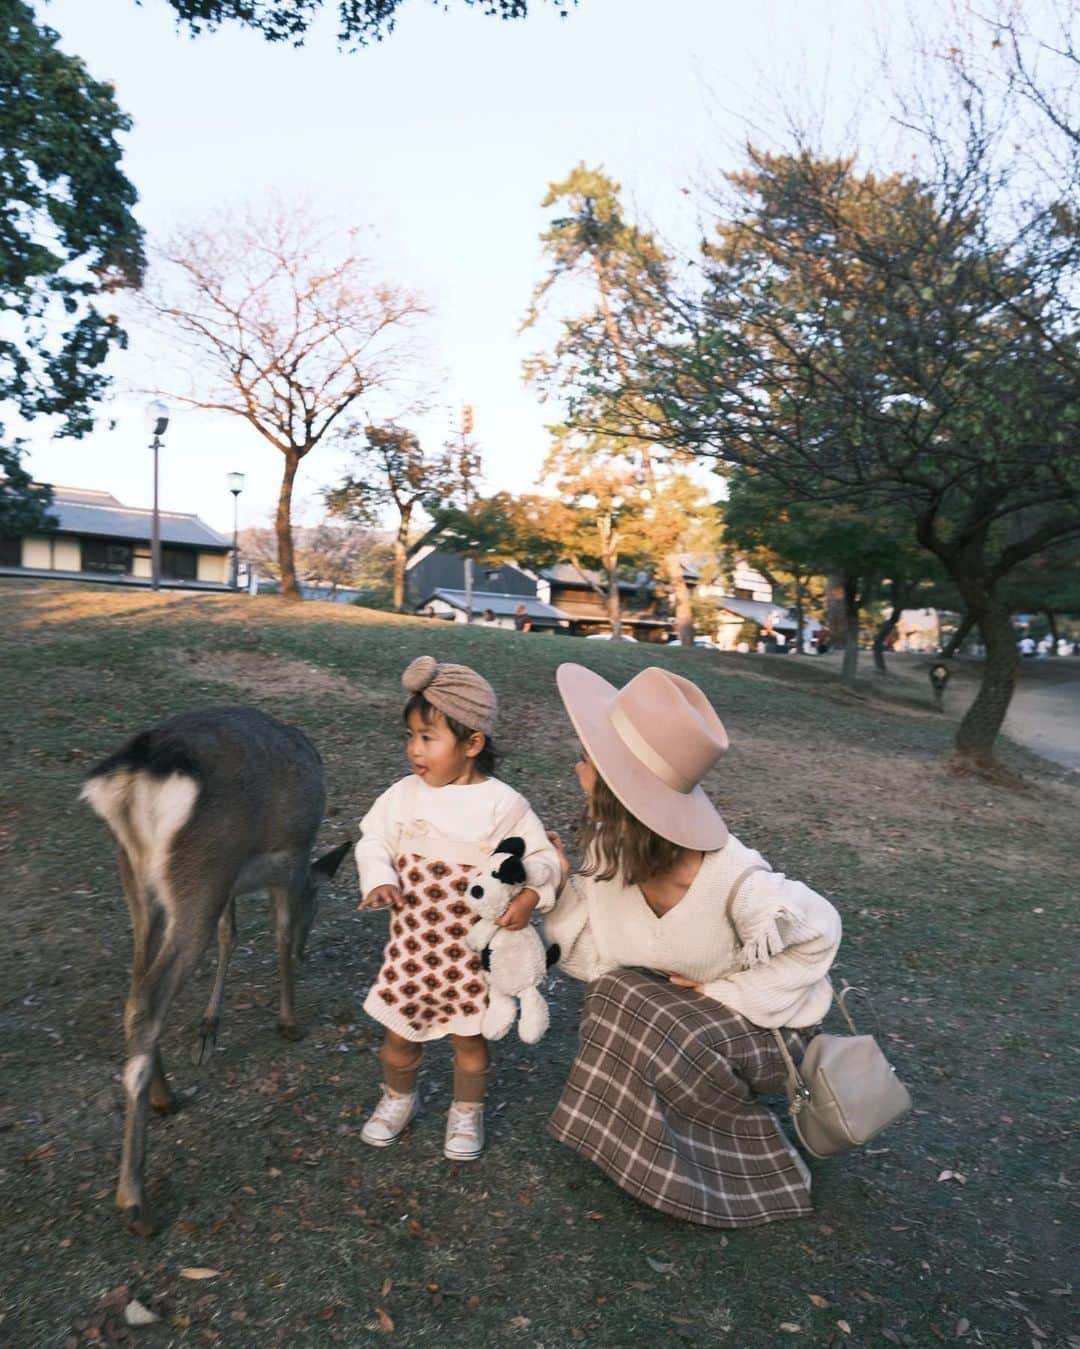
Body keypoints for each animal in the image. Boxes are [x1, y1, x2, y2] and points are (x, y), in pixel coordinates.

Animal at [81, 701, 350, 1235]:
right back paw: (135, 1199)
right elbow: (277, 934)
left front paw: (210, 1027)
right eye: (318, 903)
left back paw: (165, 1095)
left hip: (143, 881)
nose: (310, 951)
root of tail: (138, 768)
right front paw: (289, 1021)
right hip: (200, 869)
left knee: (136, 992)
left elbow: (232, 935)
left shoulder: (231, 881)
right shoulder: (287, 863)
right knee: (149, 1001)